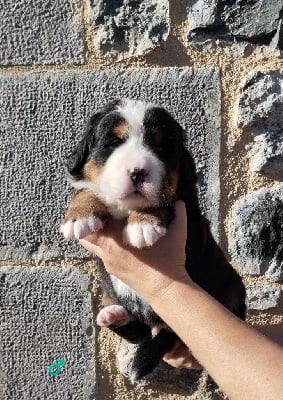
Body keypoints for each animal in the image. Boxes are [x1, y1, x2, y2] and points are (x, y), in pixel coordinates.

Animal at [60, 99, 246, 382]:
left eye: (161, 147)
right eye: (113, 142)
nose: (138, 172)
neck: (125, 209)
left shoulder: (188, 209)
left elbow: (163, 198)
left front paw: (143, 224)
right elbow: (86, 190)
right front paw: (79, 216)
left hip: (233, 288)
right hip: (112, 294)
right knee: (137, 330)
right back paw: (113, 315)